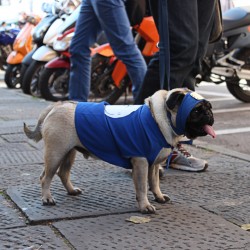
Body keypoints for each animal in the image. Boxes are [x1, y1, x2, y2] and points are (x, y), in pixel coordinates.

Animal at [23, 87, 215, 213]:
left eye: (209, 108)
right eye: (196, 111)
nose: (209, 114)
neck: (159, 118)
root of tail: (56, 105)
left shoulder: (152, 165)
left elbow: (154, 183)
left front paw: (159, 197)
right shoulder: (141, 162)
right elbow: (142, 188)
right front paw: (145, 206)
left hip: (69, 153)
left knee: (63, 173)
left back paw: (71, 190)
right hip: (56, 153)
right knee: (45, 177)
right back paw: (47, 198)